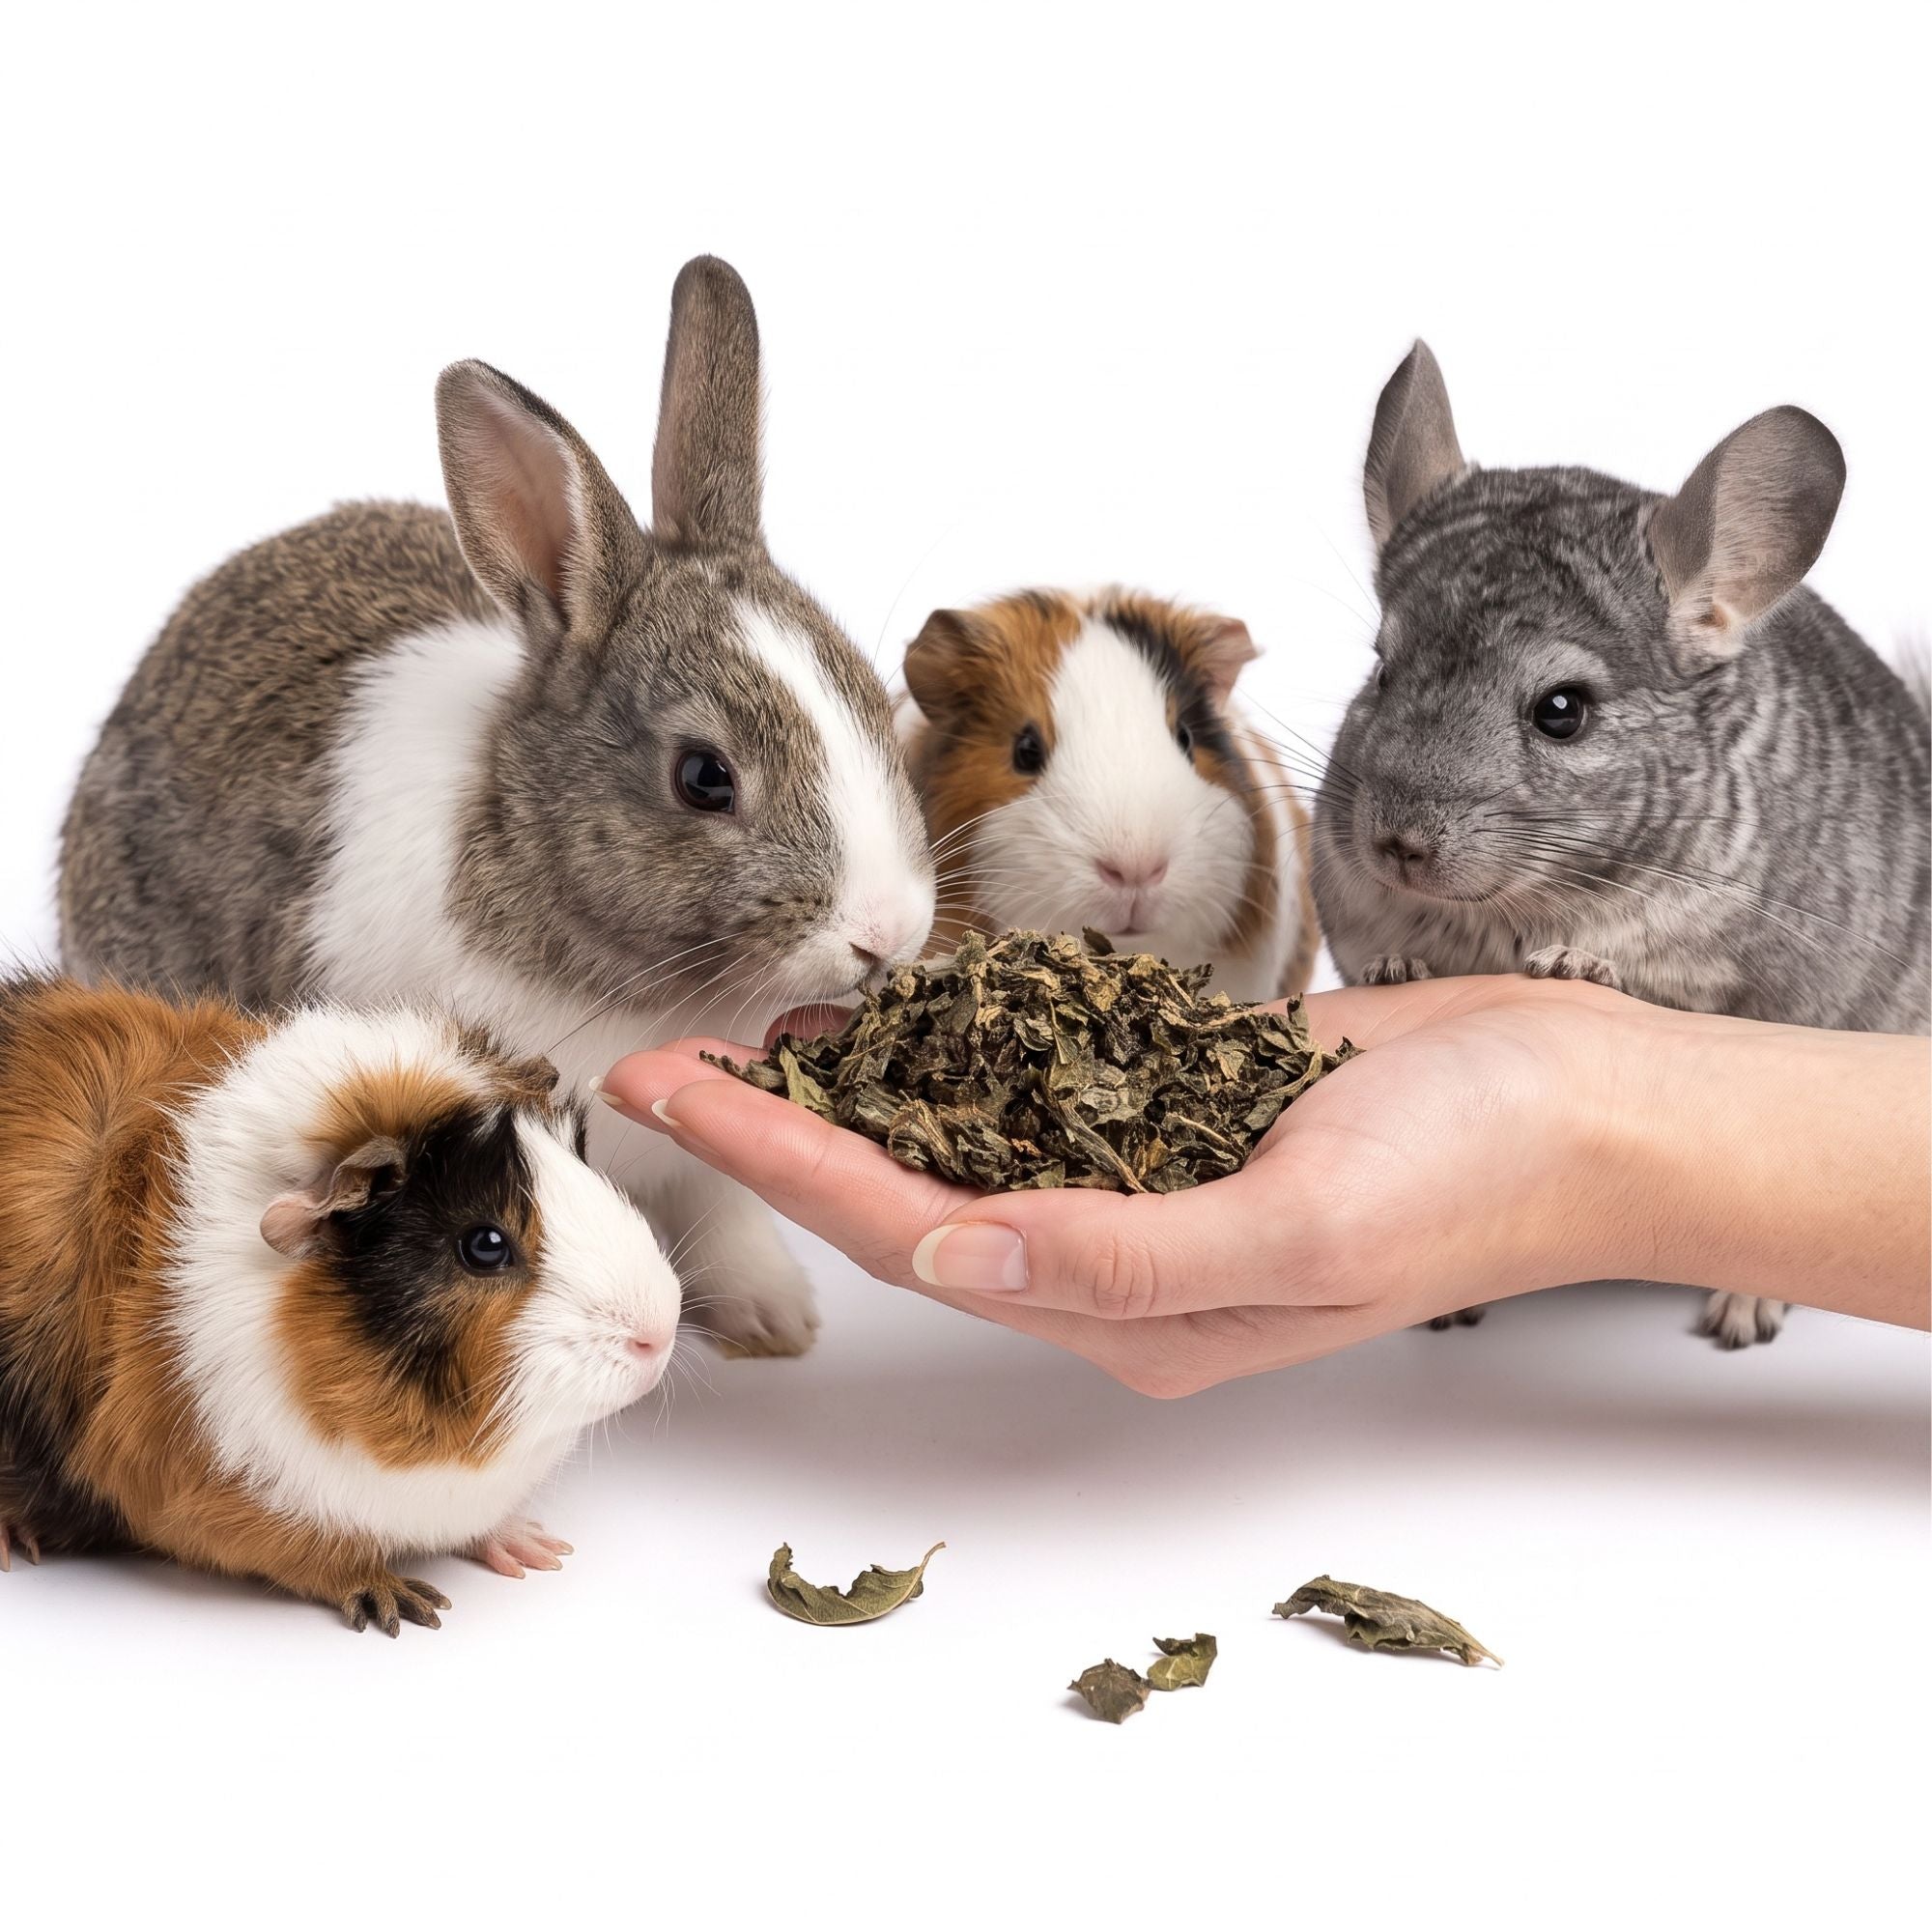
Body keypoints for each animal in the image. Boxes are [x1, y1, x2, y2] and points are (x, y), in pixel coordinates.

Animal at [0, 973, 679, 1632]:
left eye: (581, 1160)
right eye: (485, 1245)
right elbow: (309, 1554)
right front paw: (404, 1604)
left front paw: (535, 1550)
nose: (660, 1334)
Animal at [1312, 341, 1931, 1347]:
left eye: (1563, 709)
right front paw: (1394, 973)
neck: (1510, 913)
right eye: (1380, 666)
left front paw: (1576, 968)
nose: (1396, 843)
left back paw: (1741, 1313)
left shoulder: (1739, 982)